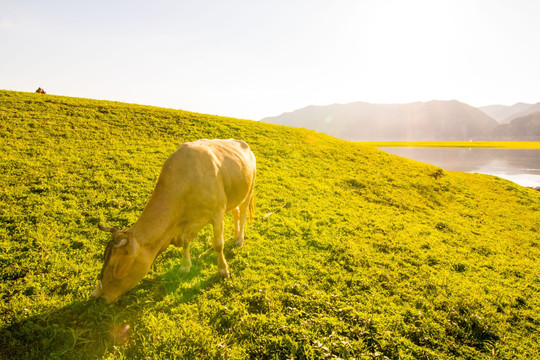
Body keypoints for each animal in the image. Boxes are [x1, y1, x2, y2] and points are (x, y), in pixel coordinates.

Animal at [91, 139, 258, 302]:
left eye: (114, 265)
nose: (98, 295)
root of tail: (243, 144)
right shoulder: (186, 224)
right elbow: (186, 243)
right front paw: (185, 266)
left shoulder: (217, 214)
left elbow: (218, 245)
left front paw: (223, 270)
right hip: (234, 196)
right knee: (236, 212)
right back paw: (235, 235)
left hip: (249, 190)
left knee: (243, 214)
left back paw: (239, 239)